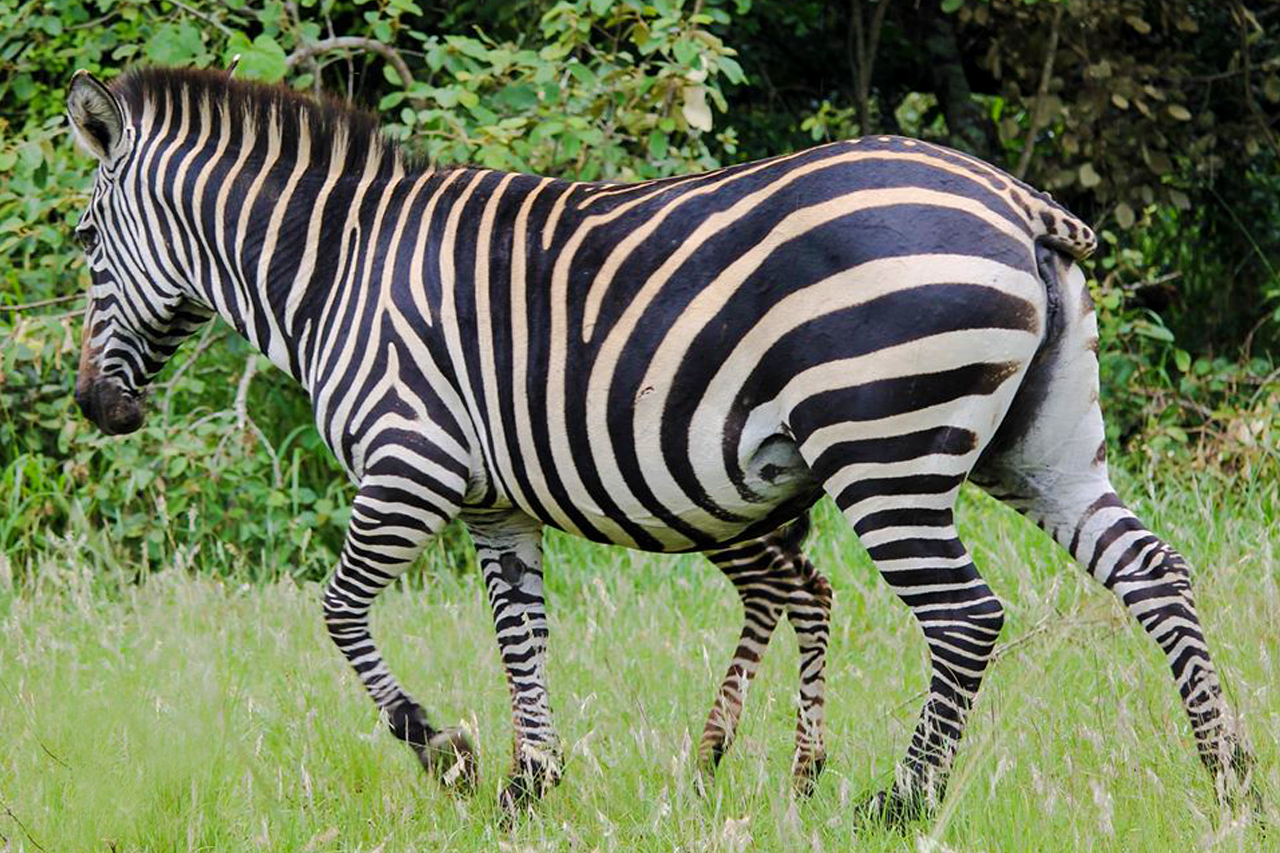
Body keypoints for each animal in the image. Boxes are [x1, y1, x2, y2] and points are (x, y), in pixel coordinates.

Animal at [66, 66, 1253, 821]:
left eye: (81, 242)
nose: (95, 410)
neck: (338, 269)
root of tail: (1015, 200)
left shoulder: (408, 467)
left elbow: (339, 612)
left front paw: (446, 753)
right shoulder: (494, 501)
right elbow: (520, 636)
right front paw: (527, 785)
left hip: (882, 449)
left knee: (964, 616)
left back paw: (900, 801)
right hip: (1038, 446)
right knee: (1152, 571)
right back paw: (1226, 771)